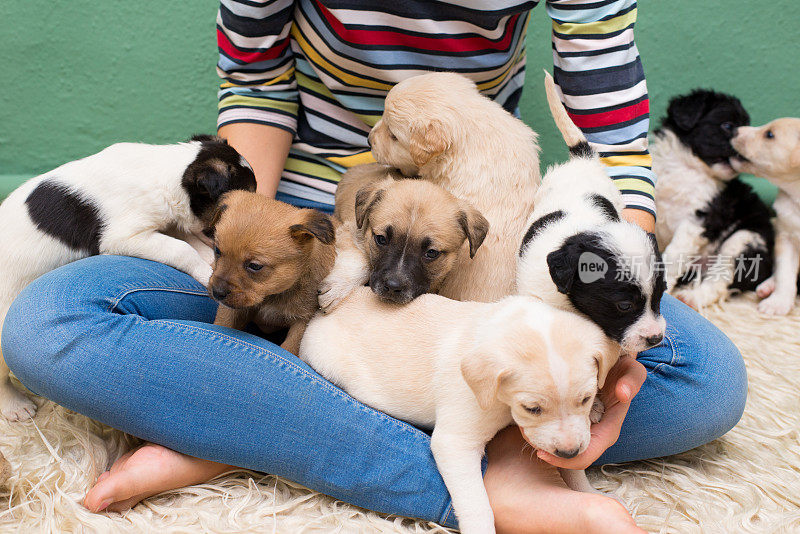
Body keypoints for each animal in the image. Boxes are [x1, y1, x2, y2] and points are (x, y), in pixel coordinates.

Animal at [208, 191, 336, 354]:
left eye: (255, 266)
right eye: (217, 250)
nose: (217, 292)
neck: (271, 296)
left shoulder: (302, 322)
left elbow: (290, 348)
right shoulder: (231, 310)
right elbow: (222, 324)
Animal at [300, 288, 620, 534]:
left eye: (586, 398)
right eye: (532, 408)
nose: (569, 452)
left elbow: (576, 472)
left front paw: (588, 490)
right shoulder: (455, 442)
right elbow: (477, 504)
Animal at [318, 163, 488, 314]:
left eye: (431, 253)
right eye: (381, 239)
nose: (393, 287)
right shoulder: (350, 229)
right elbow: (360, 260)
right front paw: (336, 288)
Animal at [648, 91, 776, 310]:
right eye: (728, 126)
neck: (686, 167)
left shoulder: (699, 218)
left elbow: (673, 254)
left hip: (742, 241)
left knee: (720, 282)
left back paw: (692, 298)